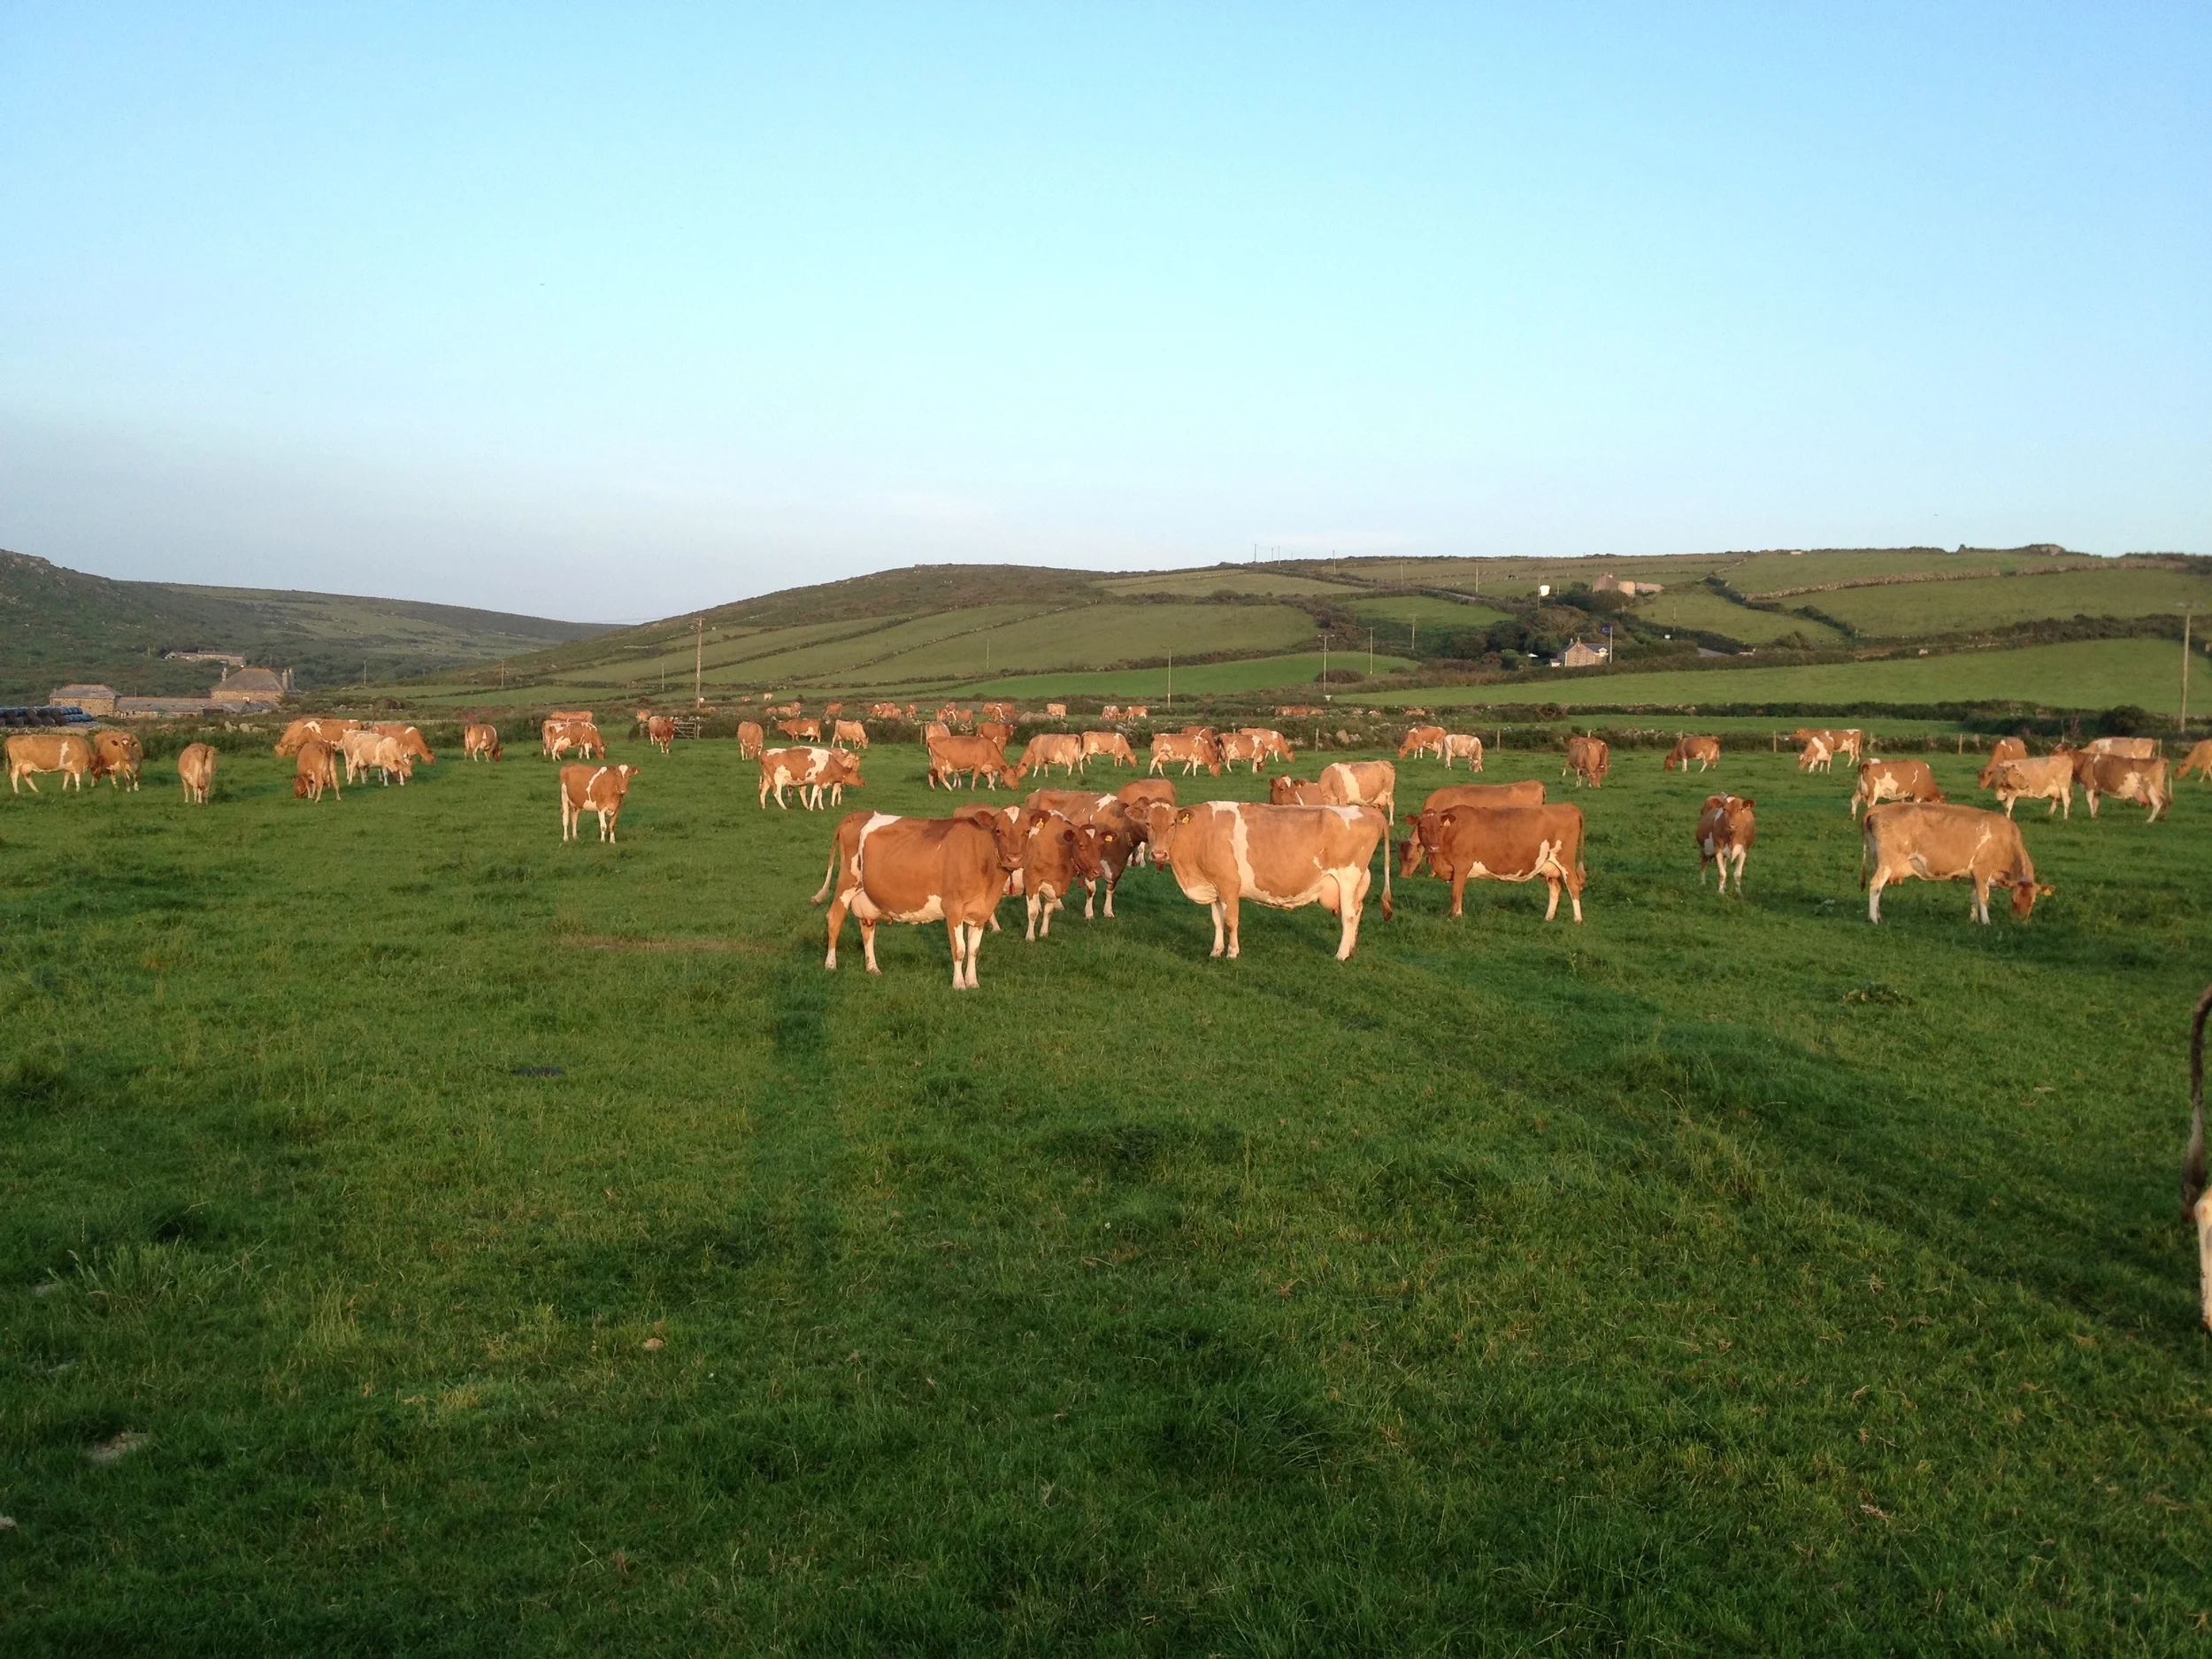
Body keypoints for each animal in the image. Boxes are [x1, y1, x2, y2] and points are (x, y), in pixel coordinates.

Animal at [815, 810, 1020, 988]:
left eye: (1024, 832)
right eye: (999, 830)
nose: (1014, 859)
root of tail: (859, 813)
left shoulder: (980, 912)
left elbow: (974, 950)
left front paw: (973, 983)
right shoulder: (953, 907)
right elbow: (959, 949)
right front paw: (959, 984)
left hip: (866, 896)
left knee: (867, 928)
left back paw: (873, 968)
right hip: (847, 883)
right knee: (834, 919)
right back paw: (831, 964)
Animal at [1144, 799, 1390, 960]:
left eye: (1172, 824)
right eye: (1147, 824)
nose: (1158, 855)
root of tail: (1370, 811)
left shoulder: (1228, 885)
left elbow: (1231, 921)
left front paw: (1232, 952)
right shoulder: (1213, 886)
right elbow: (1217, 921)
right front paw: (1215, 951)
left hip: (1348, 878)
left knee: (1348, 915)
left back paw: (1341, 954)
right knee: (1358, 910)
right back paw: (1351, 949)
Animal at [1396, 802, 1586, 921]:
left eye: (1440, 827)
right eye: (1422, 827)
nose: (1434, 847)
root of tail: (1567, 806)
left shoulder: (1462, 866)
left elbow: (1456, 893)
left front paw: (1455, 916)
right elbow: (1458, 892)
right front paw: (1456, 913)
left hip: (1565, 861)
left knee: (1573, 885)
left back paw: (1577, 919)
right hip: (1548, 866)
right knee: (1556, 888)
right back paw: (1548, 917)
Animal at [1861, 802, 2050, 924]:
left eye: (2033, 901)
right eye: (2013, 899)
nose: (2019, 922)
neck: (2006, 840)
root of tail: (1882, 807)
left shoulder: (1975, 876)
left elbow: (1974, 896)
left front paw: (1973, 919)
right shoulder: (1982, 871)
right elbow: (1984, 897)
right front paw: (1986, 921)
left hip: (1879, 861)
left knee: (1880, 889)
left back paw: (1878, 915)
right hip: (1887, 862)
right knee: (1875, 885)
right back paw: (1873, 919)